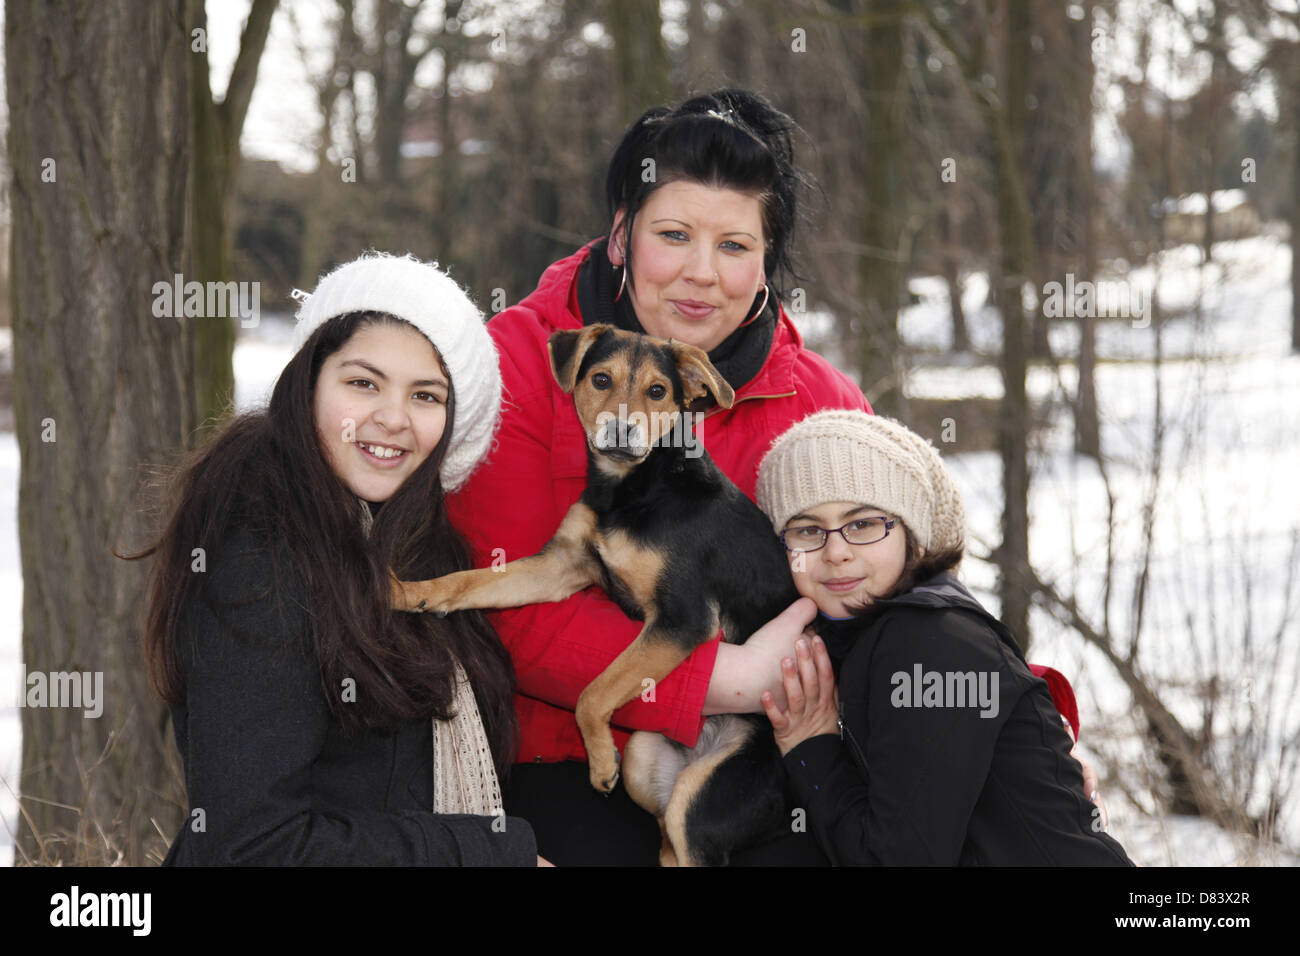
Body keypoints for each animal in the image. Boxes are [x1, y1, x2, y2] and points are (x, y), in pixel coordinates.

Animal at [387, 323, 790, 868]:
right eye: (601, 379)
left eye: (658, 391)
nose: (622, 431)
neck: (632, 487)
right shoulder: (560, 565)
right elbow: (469, 581)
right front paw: (410, 592)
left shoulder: (682, 620)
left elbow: (593, 691)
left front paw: (599, 762)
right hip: (645, 759)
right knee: (664, 833)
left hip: (705, 799)